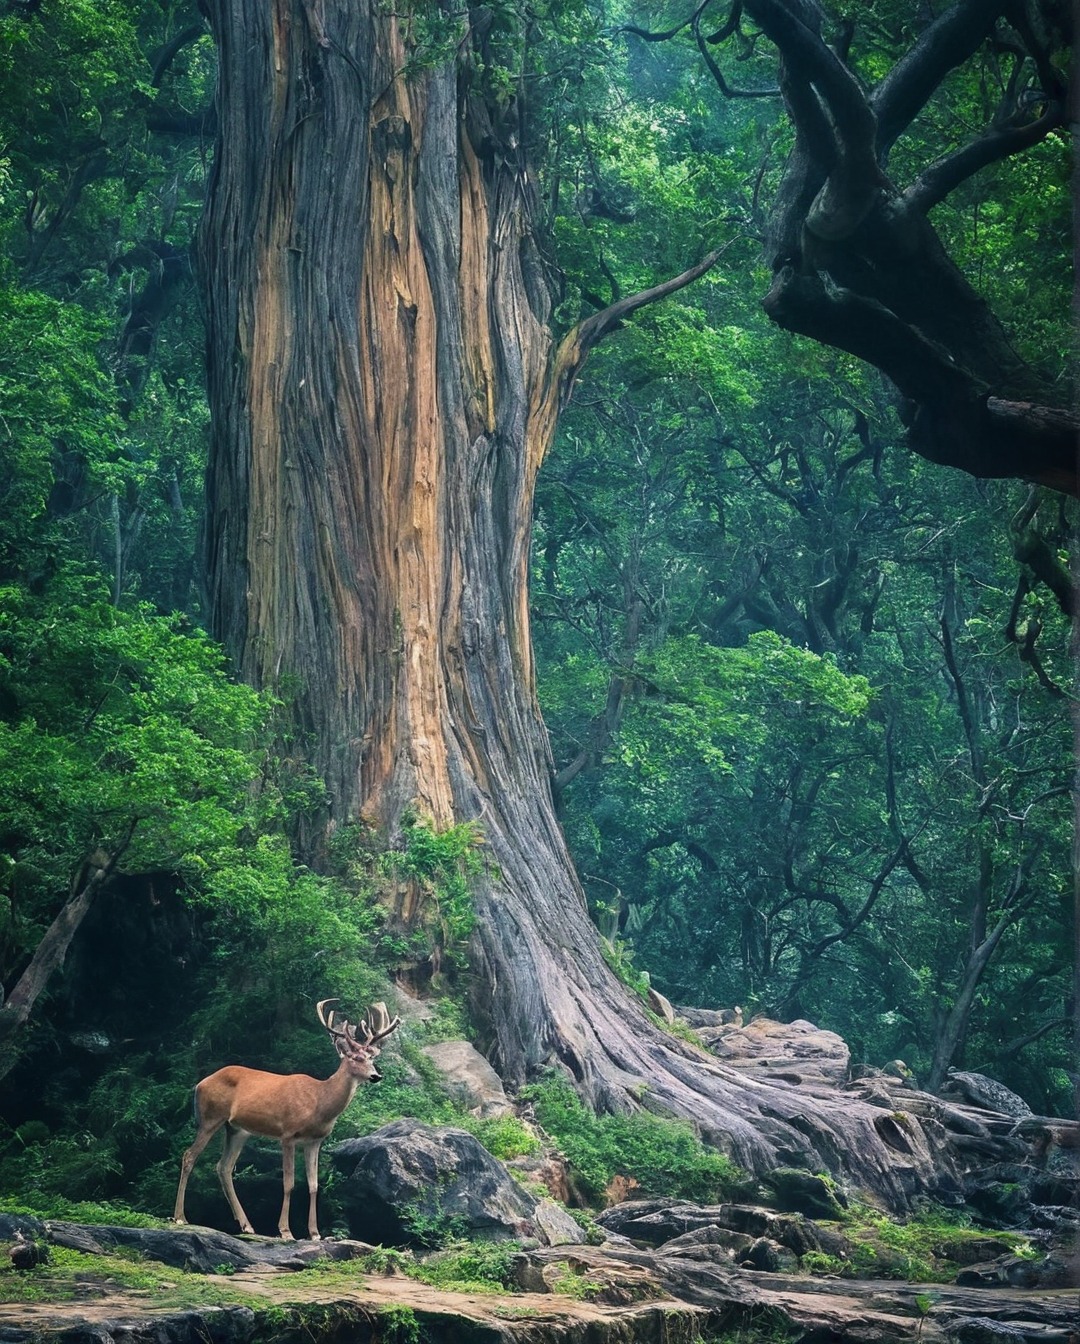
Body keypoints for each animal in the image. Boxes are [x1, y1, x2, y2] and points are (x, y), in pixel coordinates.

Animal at [173, 999, 400, 1236]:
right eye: (356, 1058)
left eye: (372, 1058)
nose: (376, 1075)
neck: (319, 1103)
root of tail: (199, 1084)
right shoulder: (288, 1133)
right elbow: (289, 1183)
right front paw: (285, 1230)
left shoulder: (315, 1141)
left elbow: (313, 1185)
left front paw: (315, 1232)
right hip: (210, 1117)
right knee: (189, 1156)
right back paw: (180, 1217)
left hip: (237, 1129)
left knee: (224, 1167)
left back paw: (247, 1225)